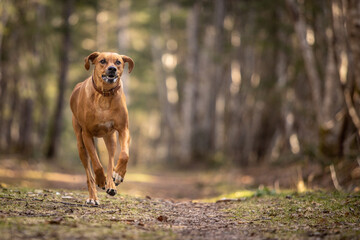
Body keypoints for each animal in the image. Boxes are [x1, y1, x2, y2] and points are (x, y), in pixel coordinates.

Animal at [69, 51, 134, 205]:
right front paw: (100, 180)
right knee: (88, 172)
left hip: (110, 139)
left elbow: (124, 155)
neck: (104, 95)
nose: (112, 69)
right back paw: (93, 197)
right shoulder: (87, 134)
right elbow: (96, 163)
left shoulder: (124, 129)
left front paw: (119, 174)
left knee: (110, 162)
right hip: (80, 143)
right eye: (102, 61)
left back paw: (111, 184)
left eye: (118, 62)